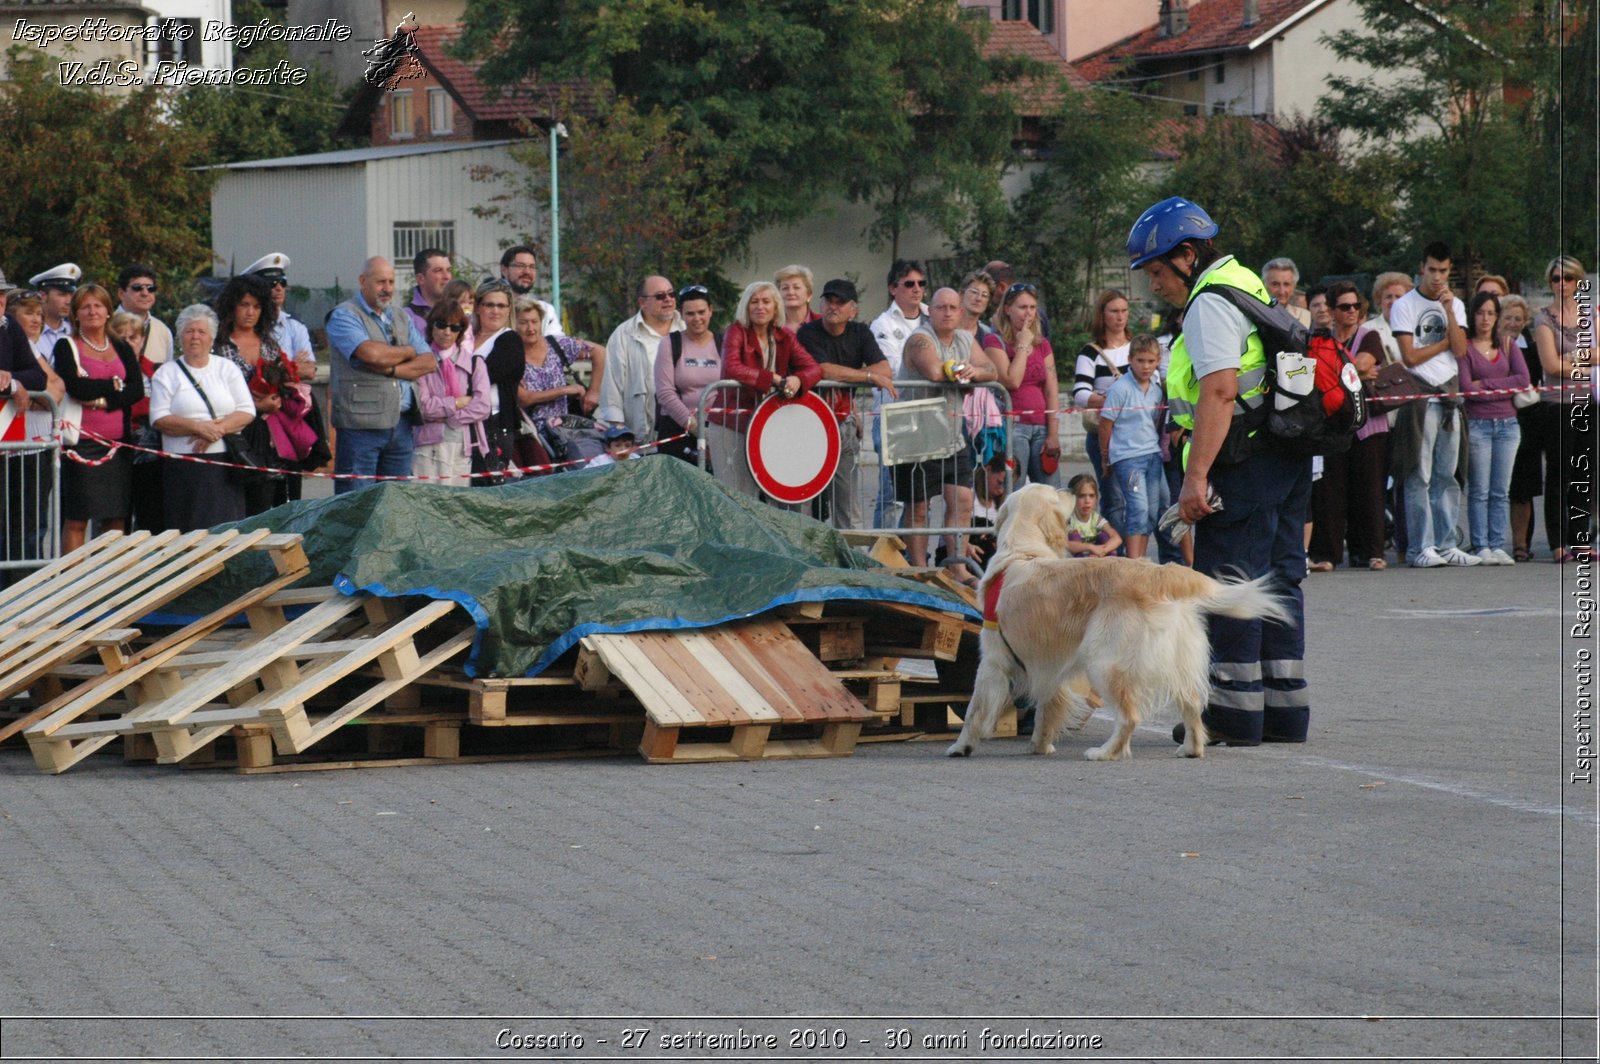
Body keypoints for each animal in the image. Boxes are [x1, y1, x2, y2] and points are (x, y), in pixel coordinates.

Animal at [947, 476, 1286, 758]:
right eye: (1056, 493)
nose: (1069, 488)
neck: (1022, 552)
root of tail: (1159, 572)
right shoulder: (1051, 663)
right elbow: (1047, 708)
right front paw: (1040, 746)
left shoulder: (993, 660)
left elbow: (975, 709)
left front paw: (961, 746)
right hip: (1179, 659)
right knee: (1191, 705)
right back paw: (1191, 748)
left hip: (1104, 661)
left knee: (1129, 717)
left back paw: (1104, 752)